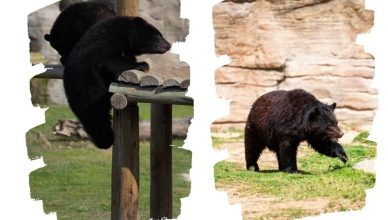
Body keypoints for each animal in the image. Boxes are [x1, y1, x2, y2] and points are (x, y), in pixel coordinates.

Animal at [64, 16, 171, 149]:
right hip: (90, 92)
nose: (169, 45)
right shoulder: (105, 44)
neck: (122, 34)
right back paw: (107, 140)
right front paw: (143, 64)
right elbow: (112, 62)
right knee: (97, 118)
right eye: (158, 35)